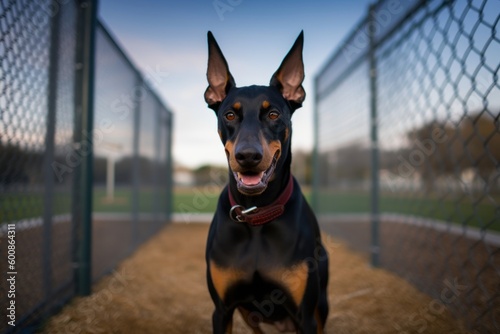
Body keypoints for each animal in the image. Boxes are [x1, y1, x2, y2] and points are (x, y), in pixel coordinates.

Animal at [203, 30, 328, 332]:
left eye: (273, 114)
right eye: (230, 114)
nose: (248, 155)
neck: (257, 213)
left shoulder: (305, 315)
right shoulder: (222, 310)